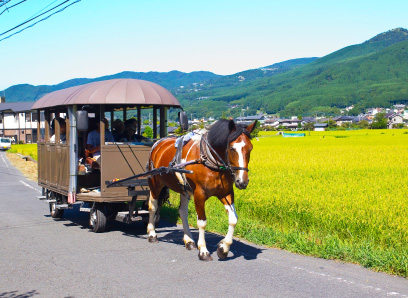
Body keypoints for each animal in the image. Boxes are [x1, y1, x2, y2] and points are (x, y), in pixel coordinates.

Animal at [146, 118, 255, 260]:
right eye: (232, 149)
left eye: (250, 148)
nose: (242, 181)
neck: (209, 160)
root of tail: (158, 142)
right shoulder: (199, 194)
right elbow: (202, 222)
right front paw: (203, 250)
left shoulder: (226, 193)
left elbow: (233, 219)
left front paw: (223, 248)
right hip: (155, 184)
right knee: (152, 206)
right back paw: (152, 234)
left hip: (184, 188)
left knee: (182, 211)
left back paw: (189, 241)